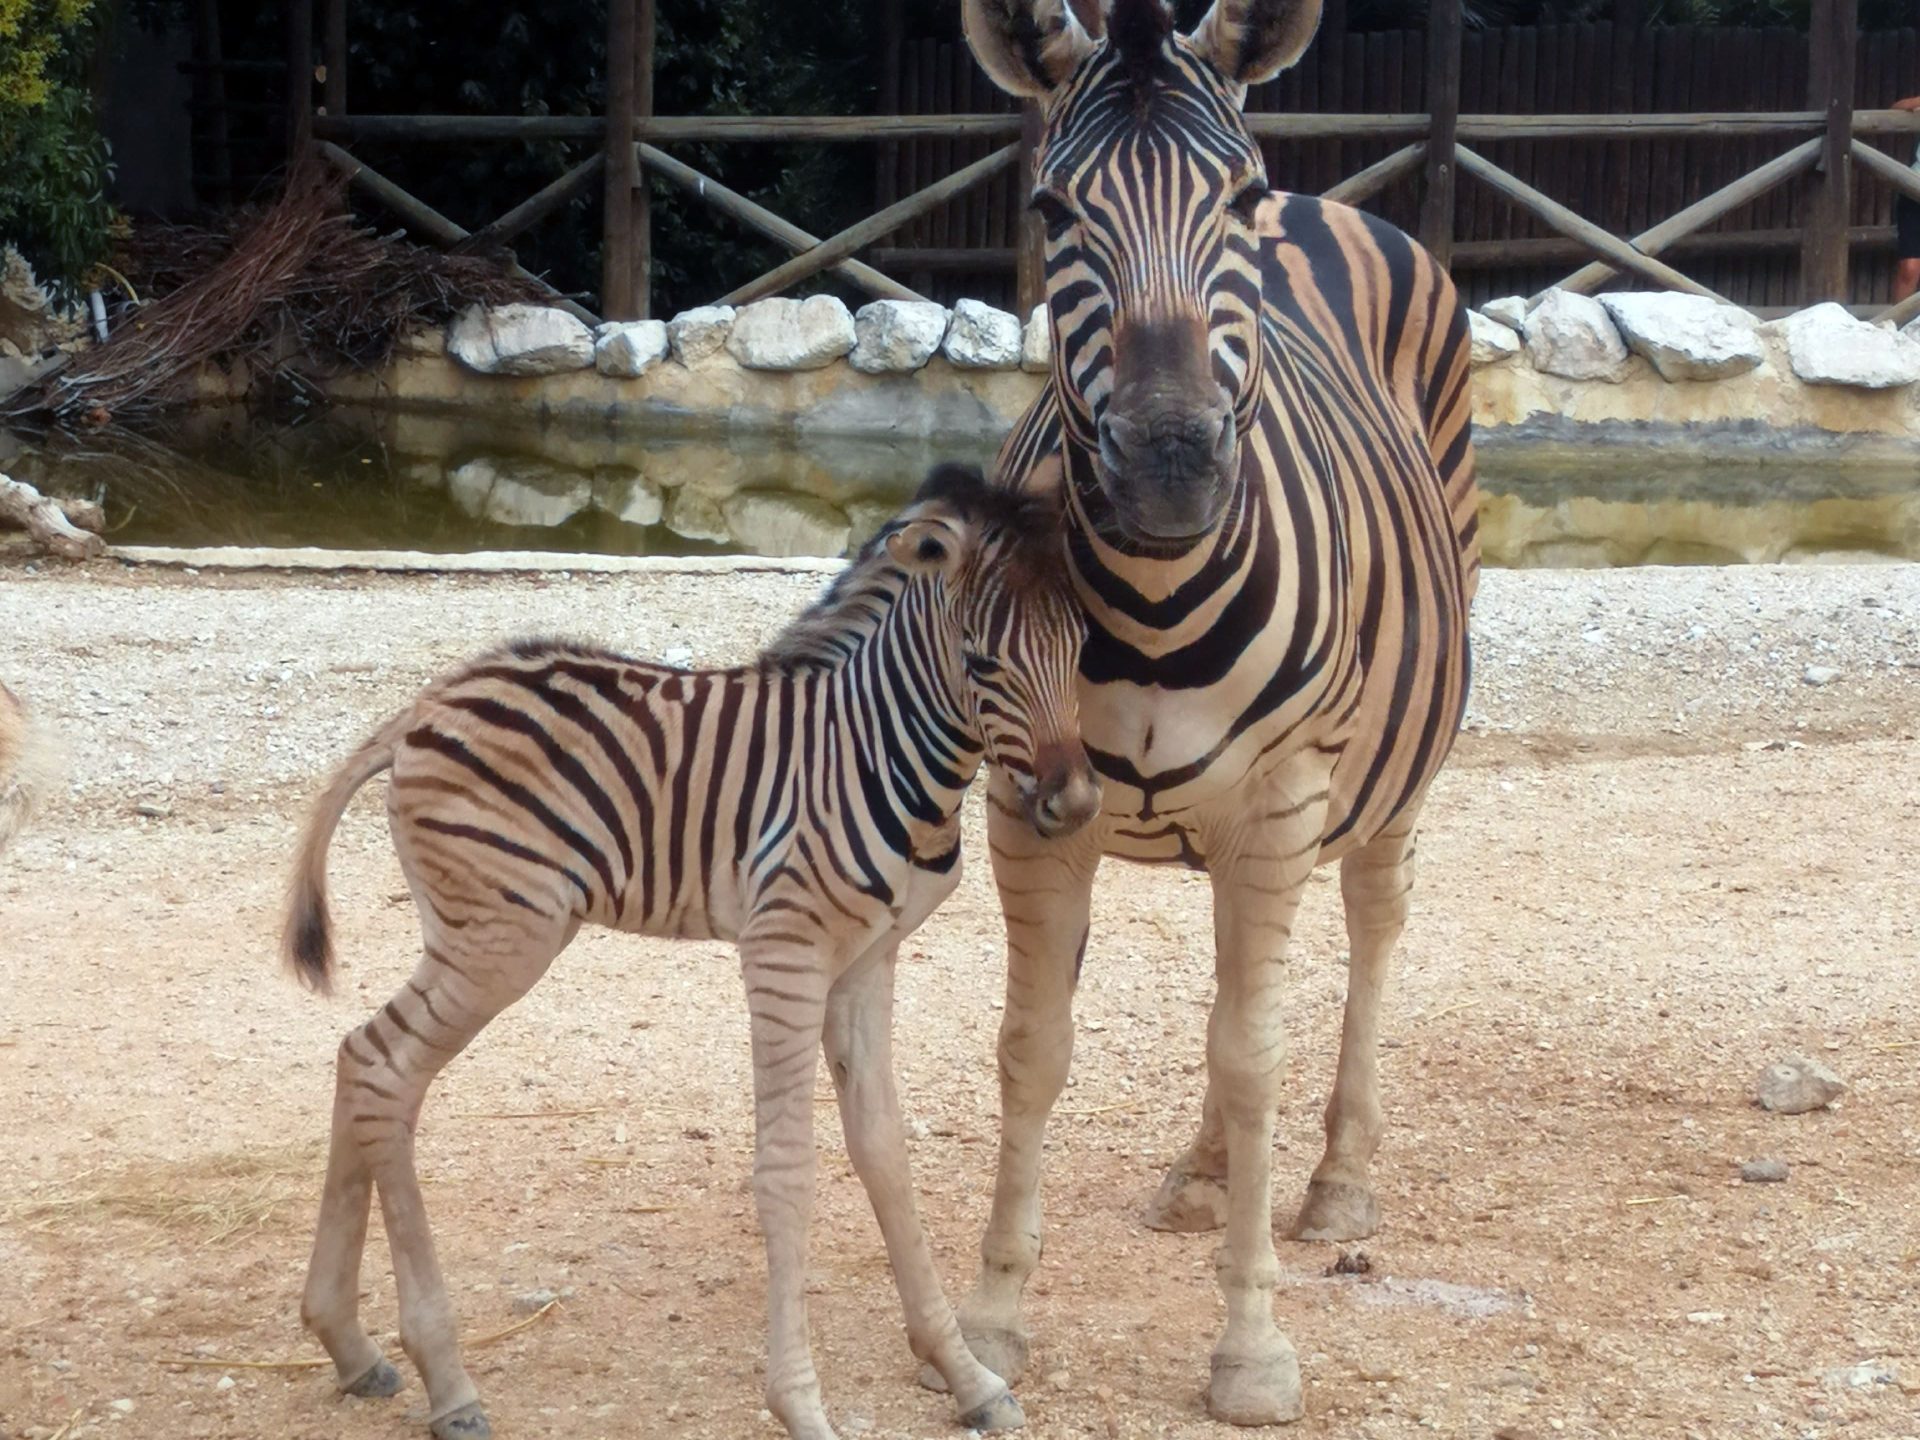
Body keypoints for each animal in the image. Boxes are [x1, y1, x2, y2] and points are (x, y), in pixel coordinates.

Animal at [281, 463, 1100, 1440]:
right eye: (982, 662)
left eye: (1083, 645)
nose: (1074, 804)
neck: (878, 748)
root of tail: (420, 708)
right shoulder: (785, 952)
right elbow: (787, 1171)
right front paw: (800, 1405)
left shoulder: (865, 963)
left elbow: (885, 1155)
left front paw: (965, 1373)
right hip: (502, 938)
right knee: (384, 1069)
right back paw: (448, 1383)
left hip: (476, 937)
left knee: (357, 1057)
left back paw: (349, 1346)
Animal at [946, 0, 1480, 1424]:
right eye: (1052, 206)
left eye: (1230, 201)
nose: (1174, 466)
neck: (1149, 598)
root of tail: (1325, 203)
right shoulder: (1027, 800)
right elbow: (1032, 1046)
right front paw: (993, 1321)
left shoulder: (1285, 798)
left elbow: (1256, 1059)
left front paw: (1251, 1350)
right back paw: (1201, 1174)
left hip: (1389, 772)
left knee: (1374, 923)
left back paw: (1337, 1179)